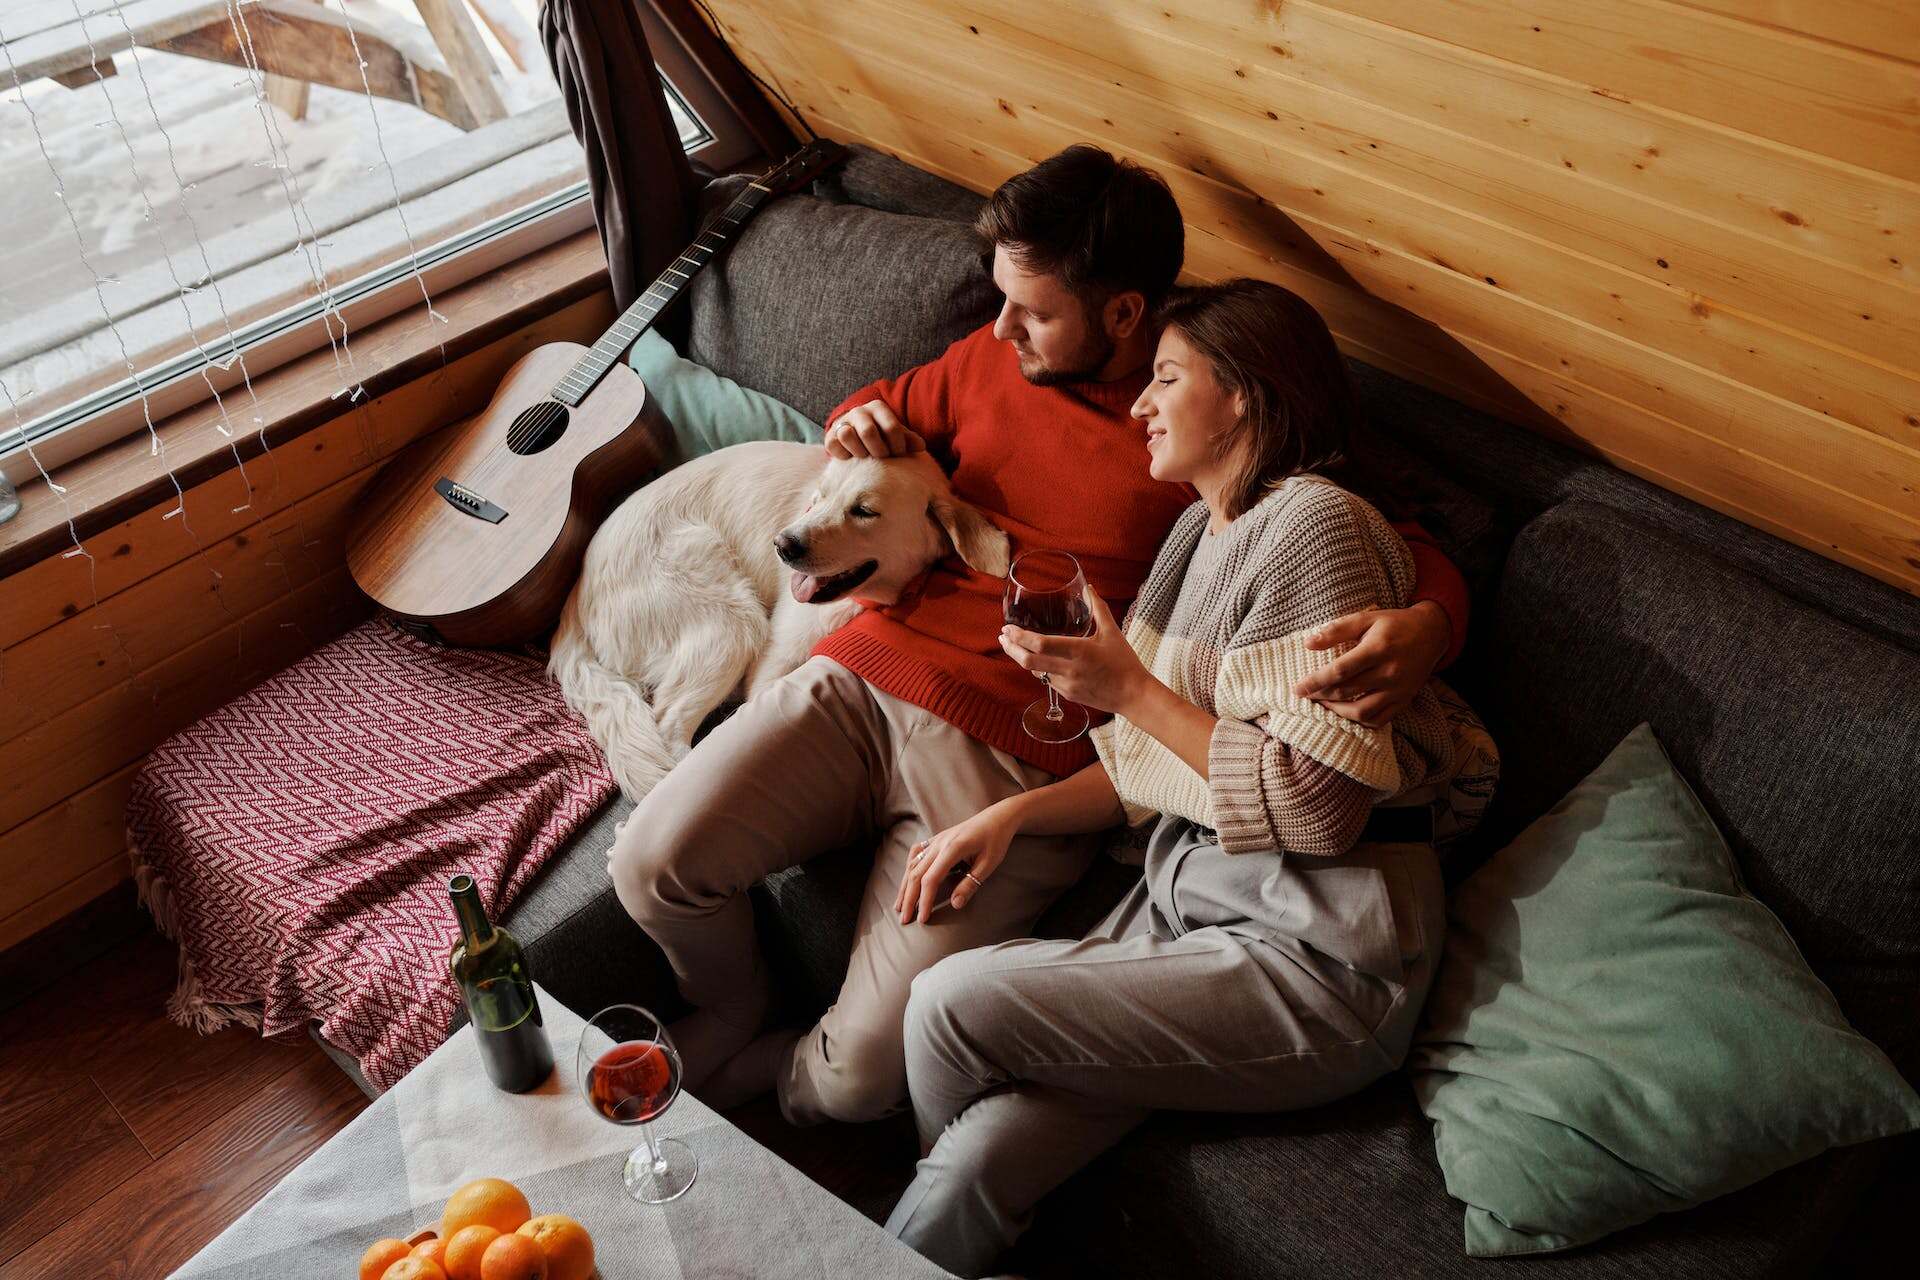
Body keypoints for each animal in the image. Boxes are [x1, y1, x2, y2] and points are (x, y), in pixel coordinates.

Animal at [552, 441, 1013, 802]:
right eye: (818, 498)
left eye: (864, 511)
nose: (783, 544)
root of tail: (574, 598)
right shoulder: (769, 668)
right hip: (734, 620)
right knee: (669, 725)